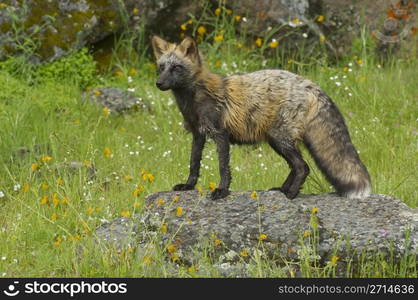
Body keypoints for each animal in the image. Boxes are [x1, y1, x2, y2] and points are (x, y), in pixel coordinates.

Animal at [151, 36, 372, 200]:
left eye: (176, 68)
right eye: (161, 67)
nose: (158, 83)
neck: (195, 100)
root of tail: (310, 84)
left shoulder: (220, 134)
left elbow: (223, 168)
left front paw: (222, 191)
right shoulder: (198, 134)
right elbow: (194, 163)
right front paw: (188, 186)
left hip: (279, 138)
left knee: (303, 167)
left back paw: (291, 194)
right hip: (276, 141)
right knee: (296, 167)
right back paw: (282, 190)